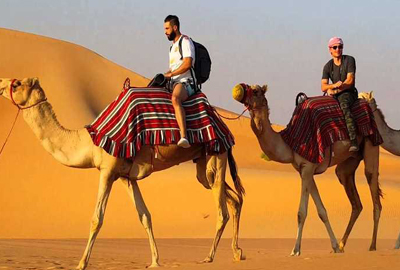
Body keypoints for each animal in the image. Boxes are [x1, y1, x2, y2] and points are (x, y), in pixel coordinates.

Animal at [0, 77, 245, 268]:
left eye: (18, 83)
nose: (1, 83)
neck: (90, 141)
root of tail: (222, 123)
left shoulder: (107, 170)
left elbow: (96, 219)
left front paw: (81, 263)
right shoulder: (126, 177)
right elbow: (145, 216)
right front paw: (155, 261)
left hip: (216, 154)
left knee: (222, 210)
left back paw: (209, 257)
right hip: (204, 163)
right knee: (234, 199)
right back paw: (237, 252)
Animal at [231, 84, 382, 255]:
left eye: (255, 91)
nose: (239, 90)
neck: (289, 142)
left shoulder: (308, 167)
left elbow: (301, 212)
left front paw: (296, 250)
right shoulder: (305, 171)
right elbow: (322, 211)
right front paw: (335, 247)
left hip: (371, 143)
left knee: (373, 189)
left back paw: (372, 246)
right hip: (349, 162)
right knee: (355, 201)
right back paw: (343, 244)